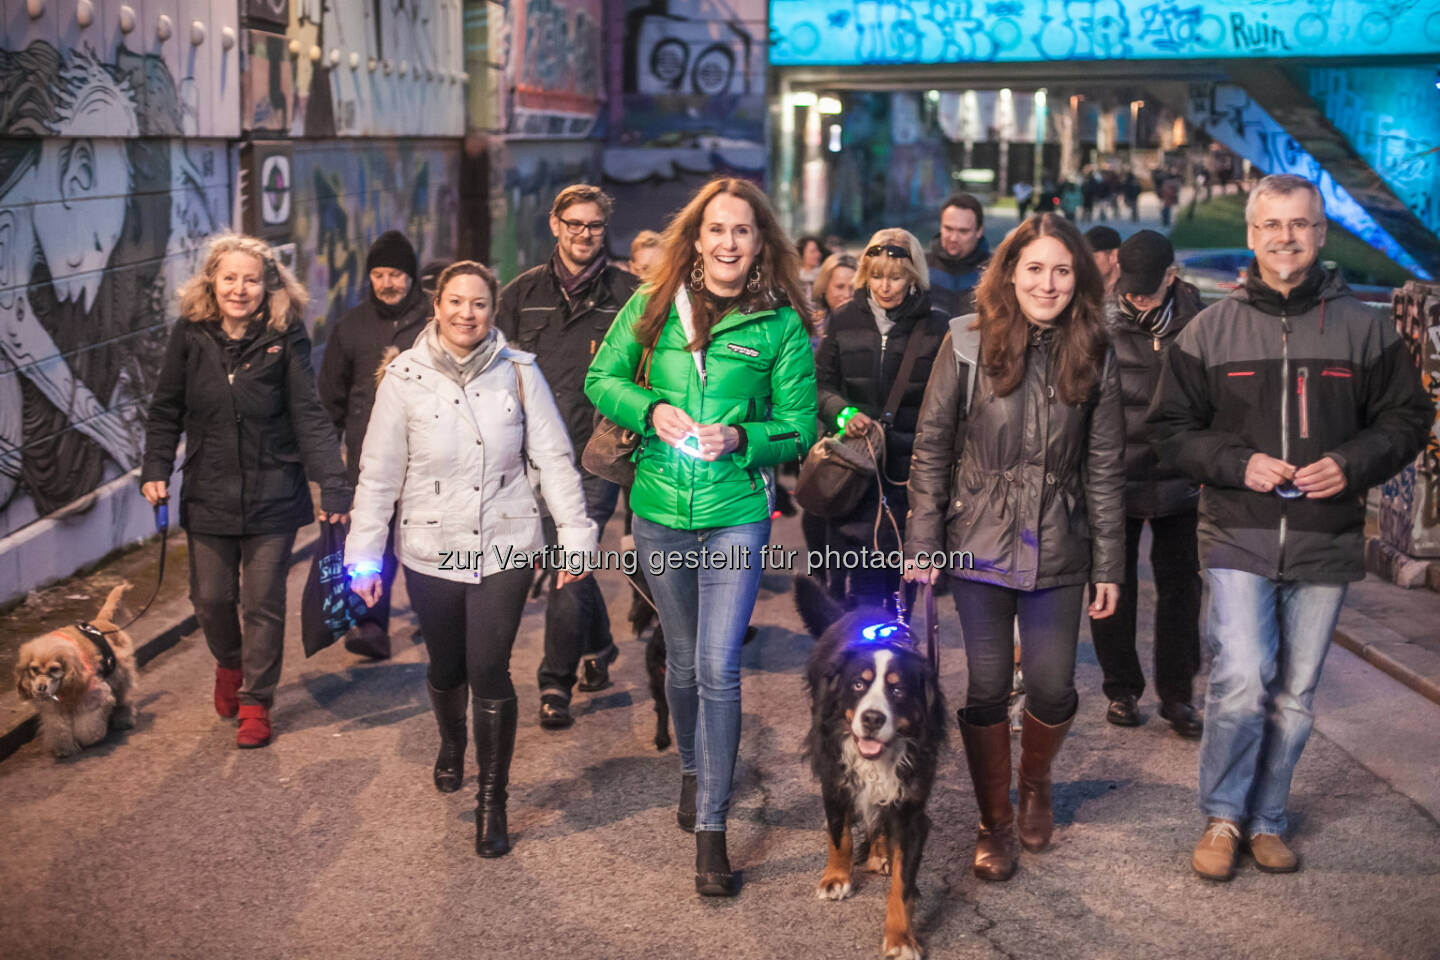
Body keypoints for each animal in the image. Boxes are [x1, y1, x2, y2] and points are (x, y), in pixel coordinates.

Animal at [14, 587, 138, 759]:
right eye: (34, 669)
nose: (40, 688)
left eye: (54, 669)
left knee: (125, 697)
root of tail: (101, 622)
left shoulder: (96, 695)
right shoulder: (54, 707)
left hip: (120, 675)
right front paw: (64, 748)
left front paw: (87, 738)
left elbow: (87, 725)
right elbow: (58, 727)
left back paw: (123, 719)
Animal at [794, 575, 950, 955]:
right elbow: (840, 834)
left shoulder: (910, 808)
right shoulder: (834, 779)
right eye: (858, 684)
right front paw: (836, 878)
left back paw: (880, 852)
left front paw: (901, 938)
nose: (872, 718)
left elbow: (902, 885)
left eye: (898, 691)